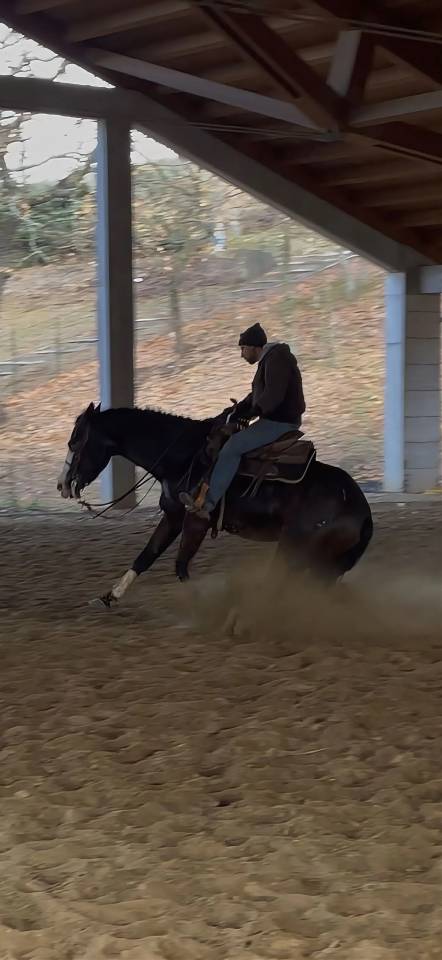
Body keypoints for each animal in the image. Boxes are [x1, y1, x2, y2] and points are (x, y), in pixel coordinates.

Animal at [57, 402, 373, 608]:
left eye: (74, 442)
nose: (62, 484)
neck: (184, 457)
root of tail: (362, 511)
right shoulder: (173, 516)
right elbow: (147, 556)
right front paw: (110, 596)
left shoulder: (197, 520)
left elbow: (181, 566)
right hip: (322, 565)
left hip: (294, 548)